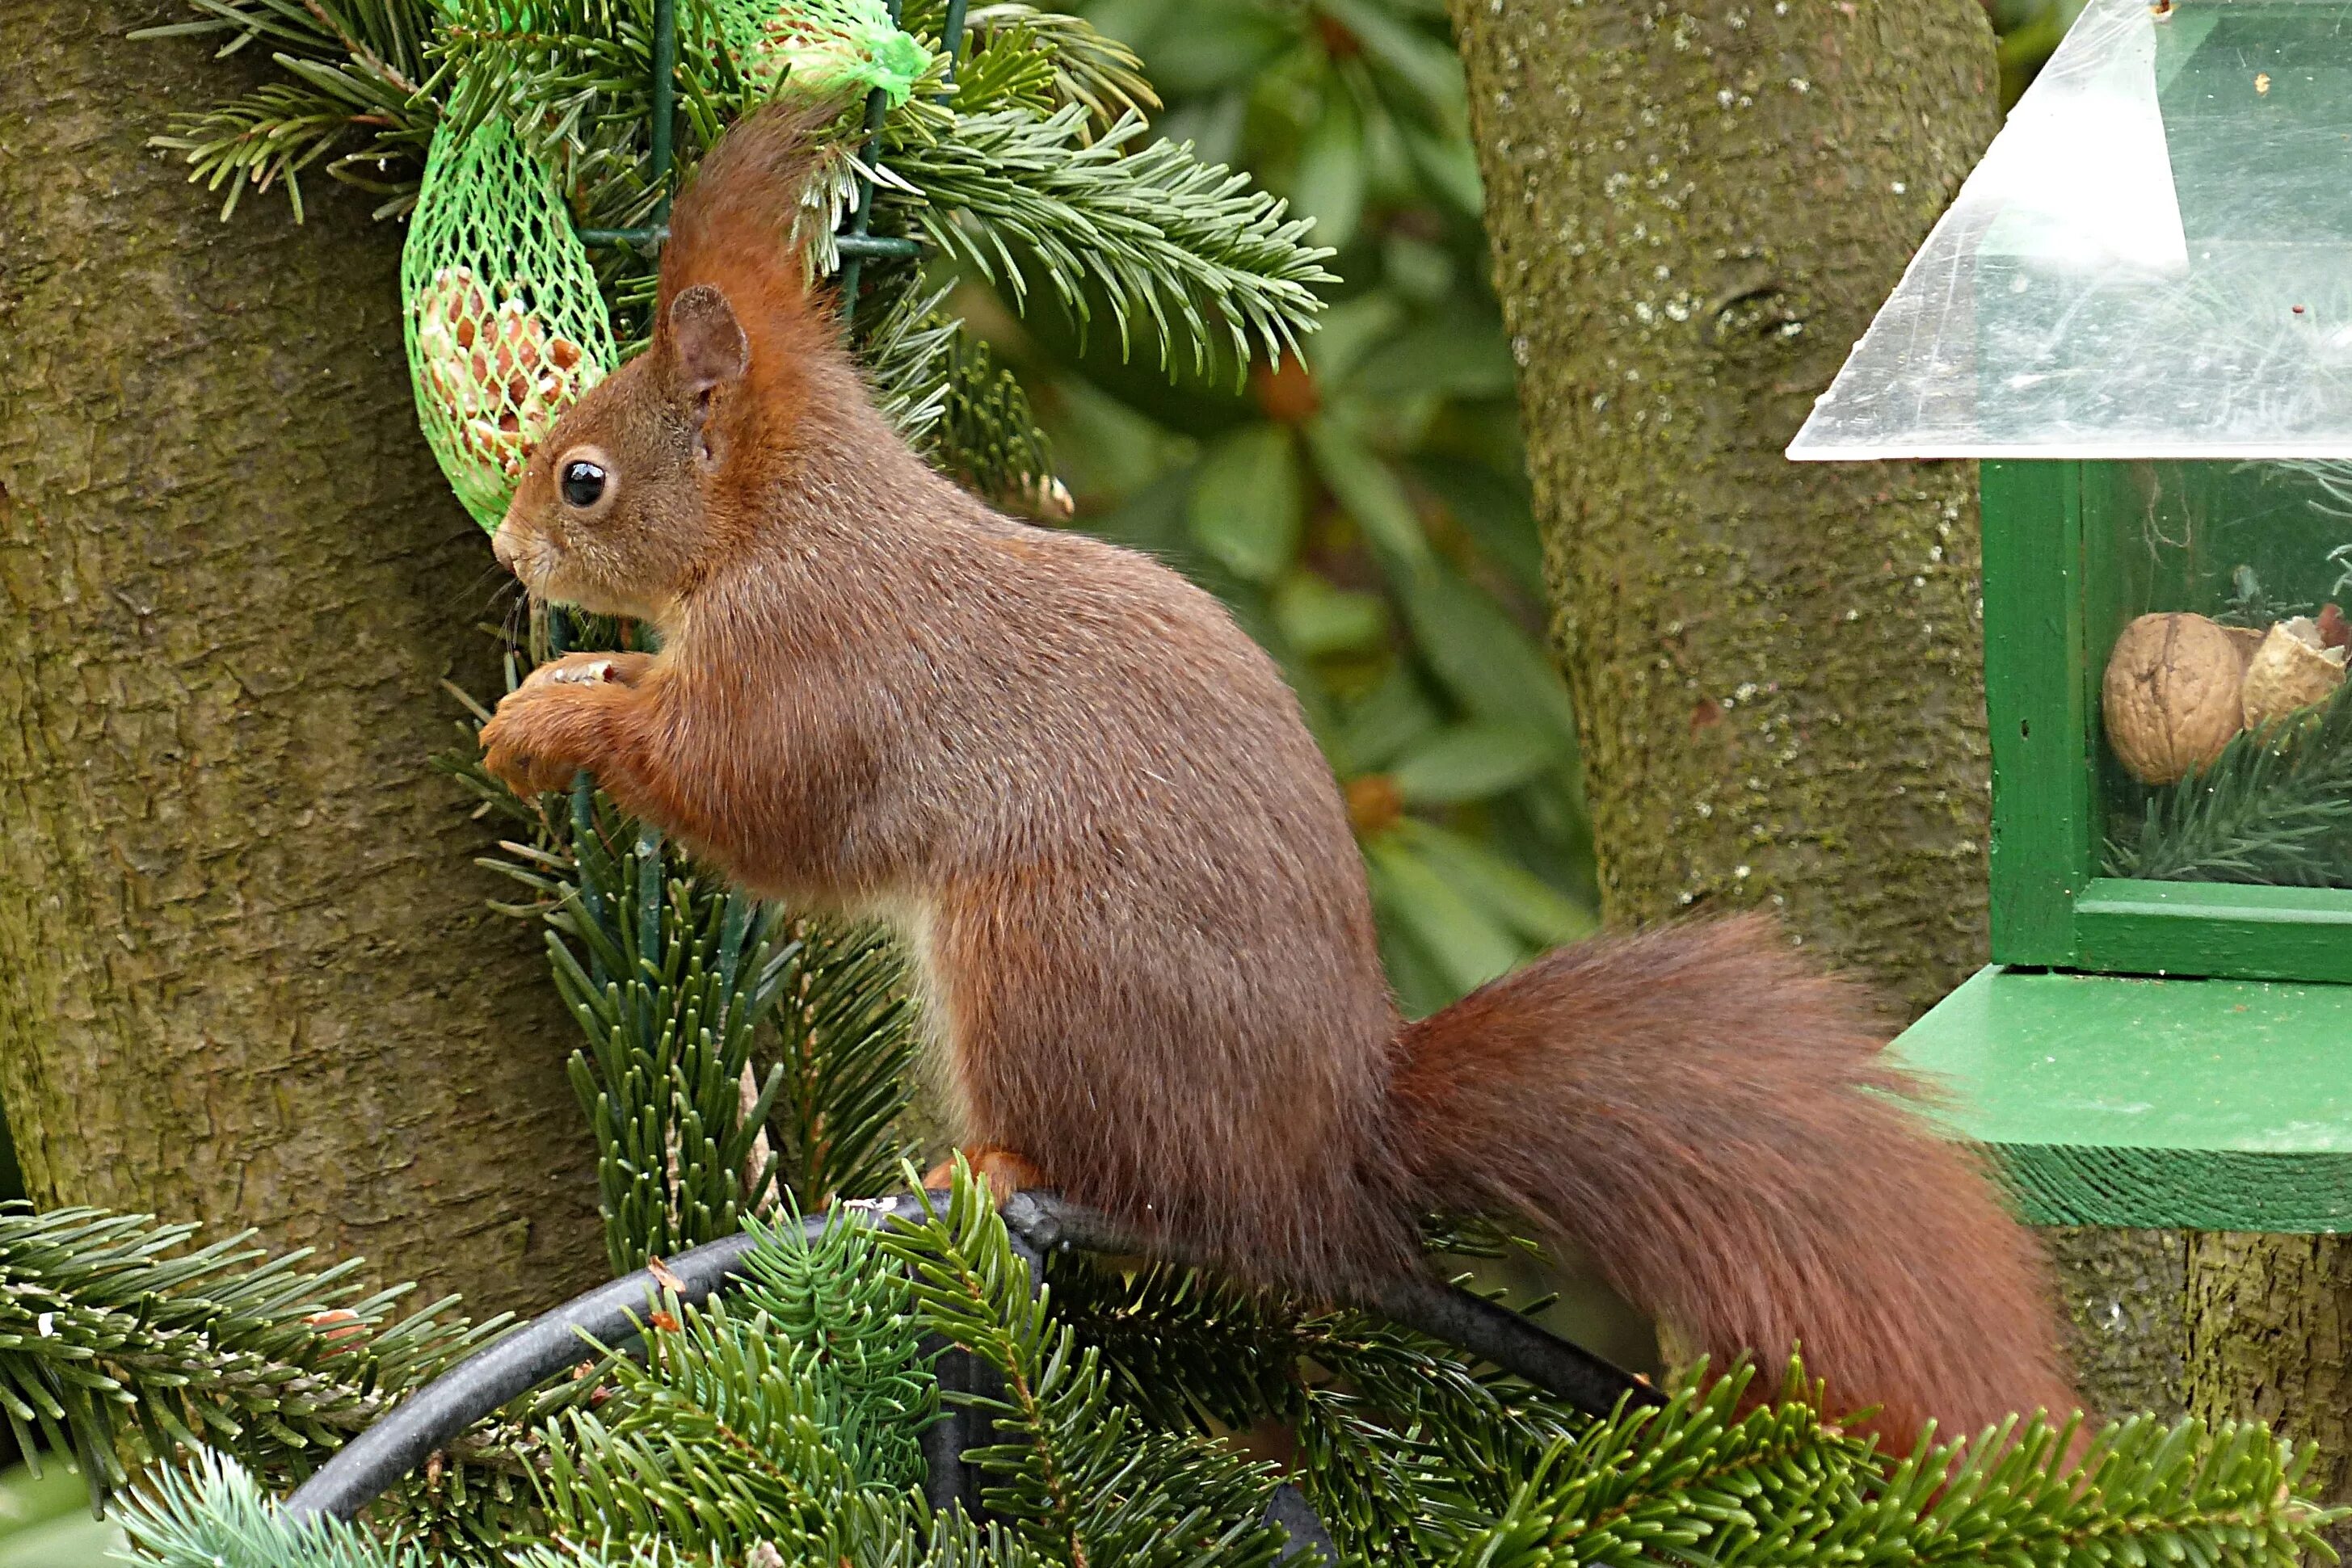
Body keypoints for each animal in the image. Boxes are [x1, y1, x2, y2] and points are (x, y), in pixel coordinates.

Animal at [482, 98, 2079, 1448]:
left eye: (583, 480)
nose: (508, 549)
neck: (780, 519)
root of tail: (1329, 1156)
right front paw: (563, 687)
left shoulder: (821, 666)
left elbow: (752, 803)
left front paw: (562, 725)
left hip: (1039, 958)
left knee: (1107, 1169)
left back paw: (983, 1174)